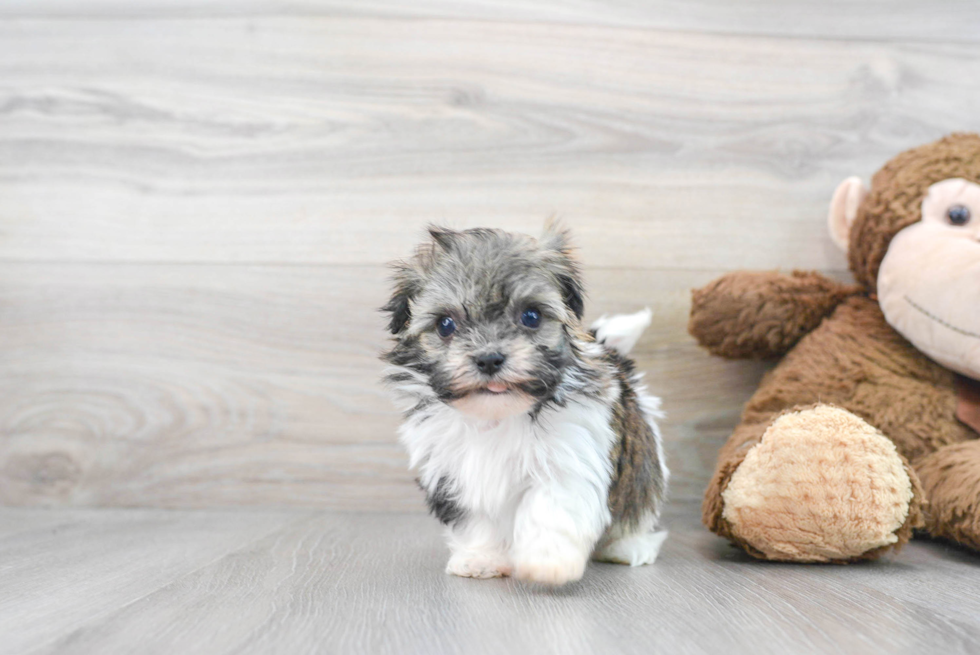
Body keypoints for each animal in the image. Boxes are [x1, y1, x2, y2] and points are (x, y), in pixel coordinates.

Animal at [378, 224, 668, 584]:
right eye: (446, 324)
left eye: (531, 316)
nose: (489, 358)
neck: (499, 414)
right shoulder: (455, 472)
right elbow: (478, 519)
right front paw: (482, 558)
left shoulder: (568, 455)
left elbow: (551, 506)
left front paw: (547, 561)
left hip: (644, 459)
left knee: (640, 498)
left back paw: (628, 546)